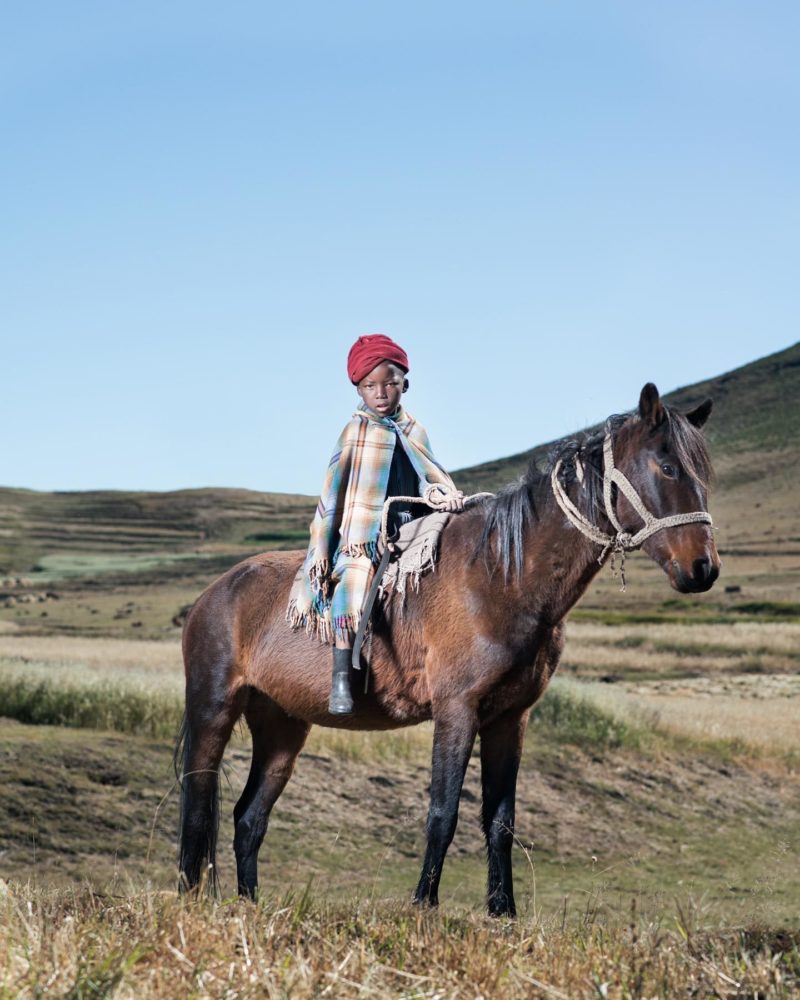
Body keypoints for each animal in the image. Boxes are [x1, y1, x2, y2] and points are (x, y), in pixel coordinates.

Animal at [177, 382, 720, 916]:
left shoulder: (509, 718)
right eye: (667, 468)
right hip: (213, 709)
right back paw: (188, 897)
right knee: (197, 805)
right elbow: (443, 811)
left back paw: (250, 905)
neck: (501, 577)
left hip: (282, 725)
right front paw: (424, 905)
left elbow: (501, 819)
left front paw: (503, 911)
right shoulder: (457, 709)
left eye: (703, 473)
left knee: (248, 818)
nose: (704, 569)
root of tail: (212, 593)